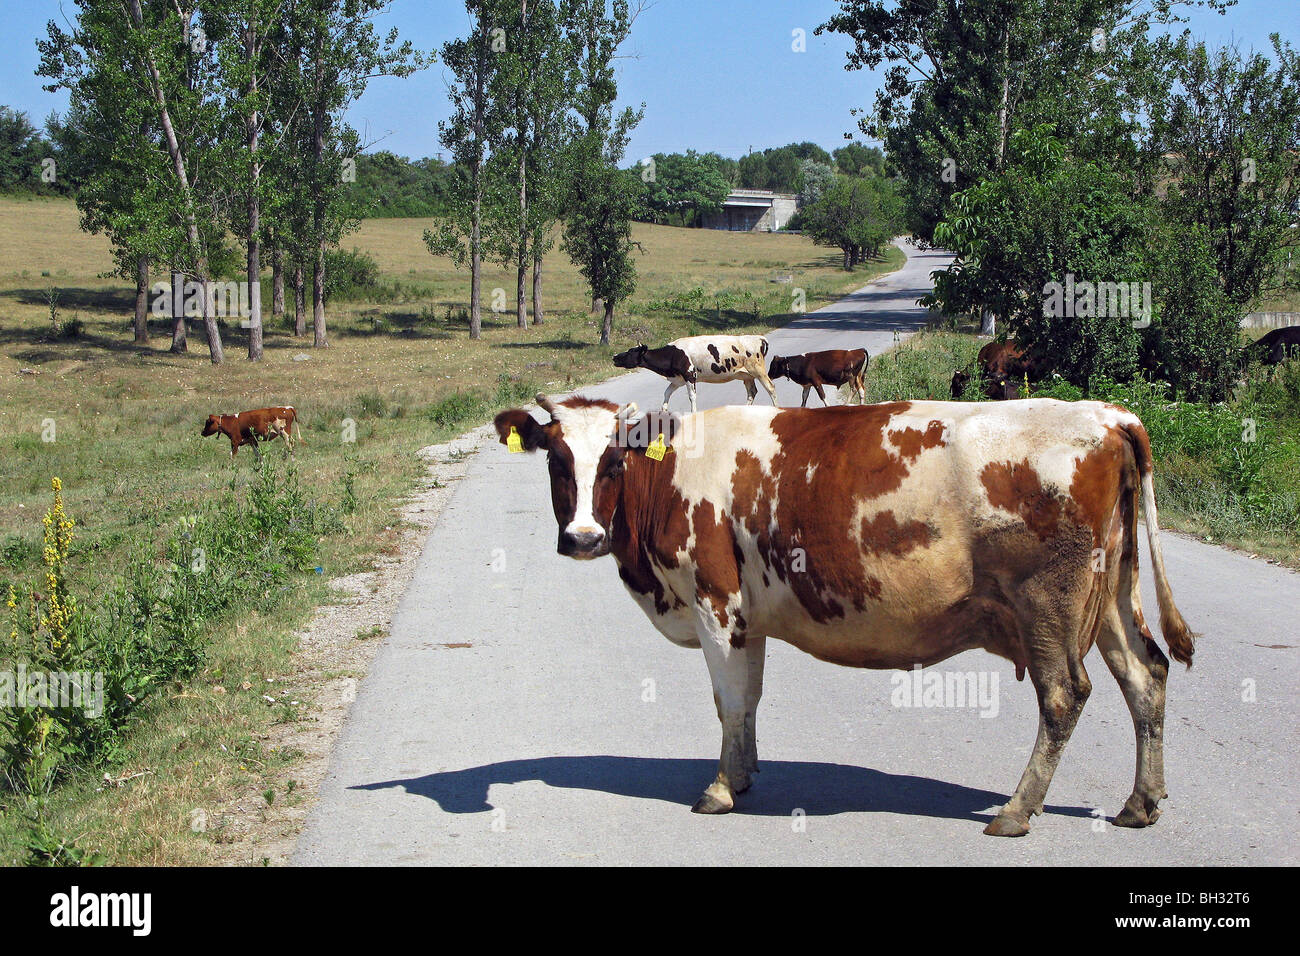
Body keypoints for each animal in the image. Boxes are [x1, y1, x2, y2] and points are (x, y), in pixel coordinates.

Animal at [494, 393, 1195, 836]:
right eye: (556, 459)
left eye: (614, 460)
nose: (584, 537)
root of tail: (1107, 414)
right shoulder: (748, 617)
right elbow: (748, 699)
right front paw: (744, 775)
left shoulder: (716, 602)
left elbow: (728, 701)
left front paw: (719, 790)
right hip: (1112, 591)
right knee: (1147, 675)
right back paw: (1140, 802)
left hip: (1048, 604)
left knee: (1064, 695)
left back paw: (1017, 810)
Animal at [615, 334, 777, 412]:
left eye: (630, 352)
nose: (614, 357)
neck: (672, 354)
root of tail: (759, 337)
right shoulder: (677, 379)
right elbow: (666, 393)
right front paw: (663, 411)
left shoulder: (689, 375)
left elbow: (692, 397)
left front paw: (693, 412)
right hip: (746, 375)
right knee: (752, 392)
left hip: (758, 370)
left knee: (771, 388)